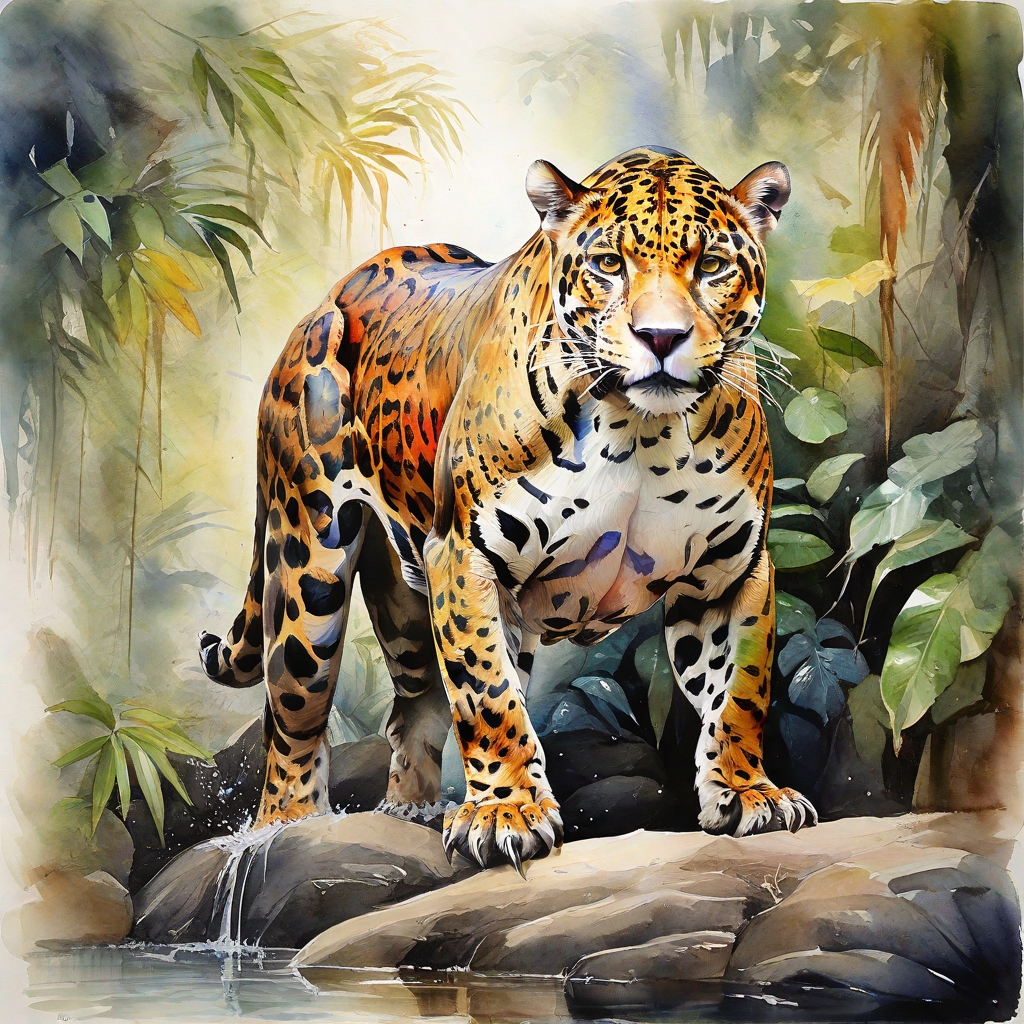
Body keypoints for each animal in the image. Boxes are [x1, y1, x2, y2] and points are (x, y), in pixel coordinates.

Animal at [199, 145, 818, 872]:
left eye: (712, 265)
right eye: (610, 264)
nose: (660, 337)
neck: (643, 430)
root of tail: (326, 299)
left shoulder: (731, 572)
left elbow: (740, 691)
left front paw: (749, 793)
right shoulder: (464, 555)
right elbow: (488, 695)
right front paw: (506, 813)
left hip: (406, 598)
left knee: (411, 706)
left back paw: (410, 812)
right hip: (309, 569)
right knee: (293, 713)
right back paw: (288, 830)